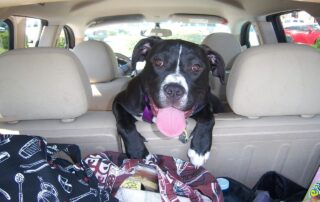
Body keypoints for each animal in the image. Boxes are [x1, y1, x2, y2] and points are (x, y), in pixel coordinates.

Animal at [112, 36, 225, 167]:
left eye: (196, 67)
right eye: (158, 62)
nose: (174, 90)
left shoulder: (203, 105)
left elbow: (208, 118)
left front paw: (200, 149)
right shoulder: (119, 101)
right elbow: (124, 124)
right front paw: (137, 151)